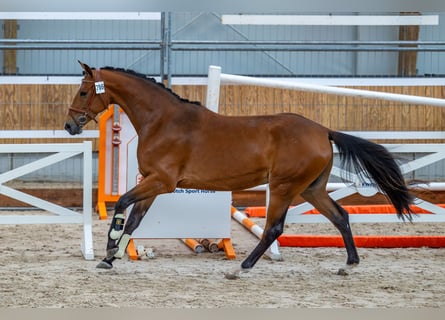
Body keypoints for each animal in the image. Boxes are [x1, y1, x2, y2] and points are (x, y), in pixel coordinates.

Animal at [63, 62, 412, 278]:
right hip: (311, 189)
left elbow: (122, 204)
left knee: (273, 228)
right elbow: (135, 219)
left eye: (84, 91)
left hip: (284, 187)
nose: (69, 125)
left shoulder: (161, 181)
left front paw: (111, 248)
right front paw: (110, 258)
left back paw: (241, 268)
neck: (162, 120)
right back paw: (349, 264)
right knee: (340, 216)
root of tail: (323, 130)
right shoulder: (153, 183)